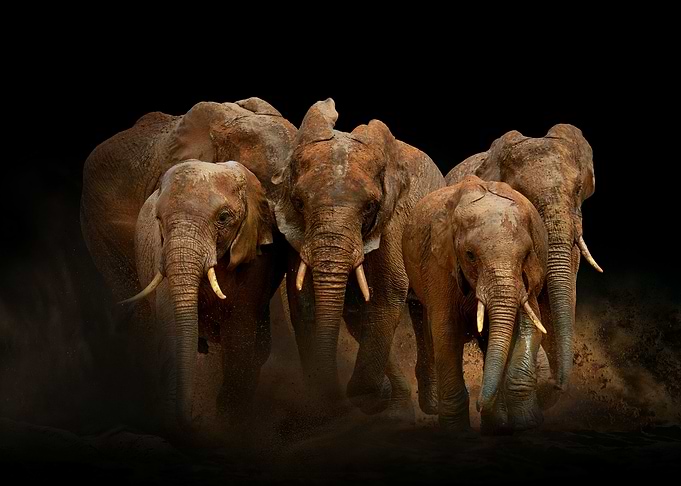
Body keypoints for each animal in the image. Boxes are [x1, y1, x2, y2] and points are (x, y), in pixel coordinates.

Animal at [272, 98, 445, 417]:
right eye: (299, 203)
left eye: (369, 207)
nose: (335, 393)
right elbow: (302, 299)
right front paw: (321, 398)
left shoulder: (393, 220)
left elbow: (389, 290)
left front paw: (360, 395)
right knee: (356, 315)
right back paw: (398, 406)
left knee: (424, 309)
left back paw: (431, 405)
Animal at [402, 176, 549, 432]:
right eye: (470, 255)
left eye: (526, 255)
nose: (479, 405)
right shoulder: (439, 263)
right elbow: (446, 331)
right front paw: (456, 431)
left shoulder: (529, 274)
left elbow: (530, 326)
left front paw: (526, 424)